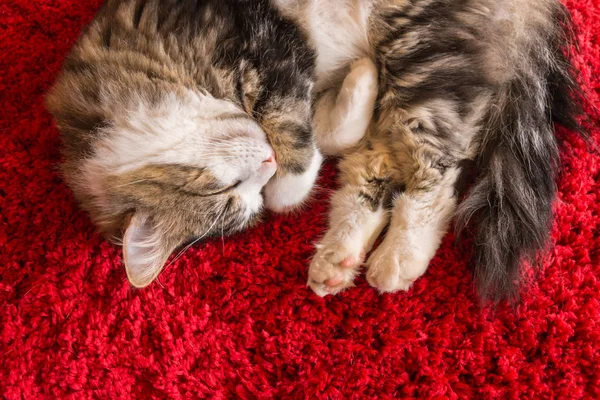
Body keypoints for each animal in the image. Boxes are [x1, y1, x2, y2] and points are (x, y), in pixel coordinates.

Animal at [46, 0, 328, 288]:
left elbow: (284, 115)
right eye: (232, 194)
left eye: (223, 190)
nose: (270, 163)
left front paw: (288, 188)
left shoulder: (261, 43)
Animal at [274, 0, 588, 300]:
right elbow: (325, 135)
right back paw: (338, 258)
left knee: (434, 180)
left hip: (416, 56)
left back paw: (396, 257)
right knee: (375, 171)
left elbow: (307, 146)